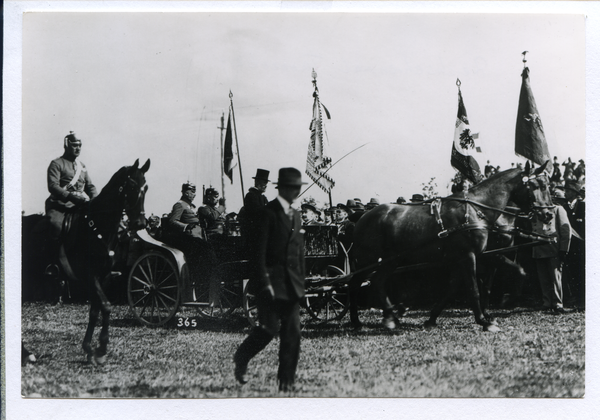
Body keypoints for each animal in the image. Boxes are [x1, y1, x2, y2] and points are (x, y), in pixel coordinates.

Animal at [31, 159, 151, 362]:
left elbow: (95, 311)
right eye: (132, 186)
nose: (141, 223)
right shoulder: (91, 276)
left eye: (146, 187)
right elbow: (106, 306)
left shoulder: (104, 276)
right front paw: (101, 348)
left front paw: (90, 349)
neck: (98, 228)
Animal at [346, 161, 552, 332]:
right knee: (355, 283)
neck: (476, 210)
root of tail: (362, 217)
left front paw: (431, 319)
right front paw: (484, 321)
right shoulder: (469, 255)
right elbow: (474, 289)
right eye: (537, 186)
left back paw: (388, 317)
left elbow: (453, 288)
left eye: (547, 185)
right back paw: (362, 320)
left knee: (377, 281)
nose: (549, 214)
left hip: (391, 260)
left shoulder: (468, 257)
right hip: (367, 259)